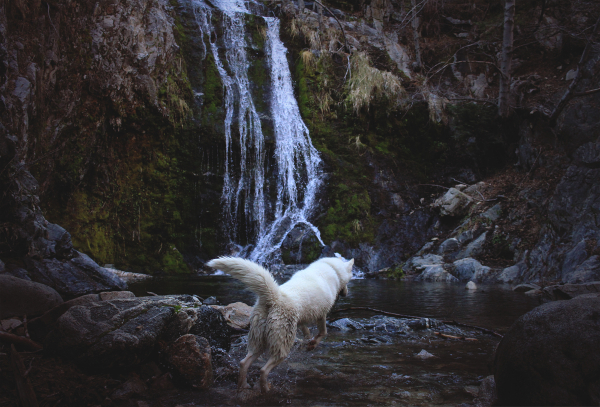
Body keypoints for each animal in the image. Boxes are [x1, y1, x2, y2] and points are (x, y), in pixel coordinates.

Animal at [209, 256, 354, 394]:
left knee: (244, 363)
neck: (332, 268)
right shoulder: (322, 315)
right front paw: (313, 344)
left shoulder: (301, 320)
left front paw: (307, 342)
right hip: (281, 345)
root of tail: (274, 298)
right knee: (263, 370)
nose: (346, 293)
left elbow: (306, 331)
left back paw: (243, 386)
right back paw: (266, 390)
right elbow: (323, 332)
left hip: (259, 341)